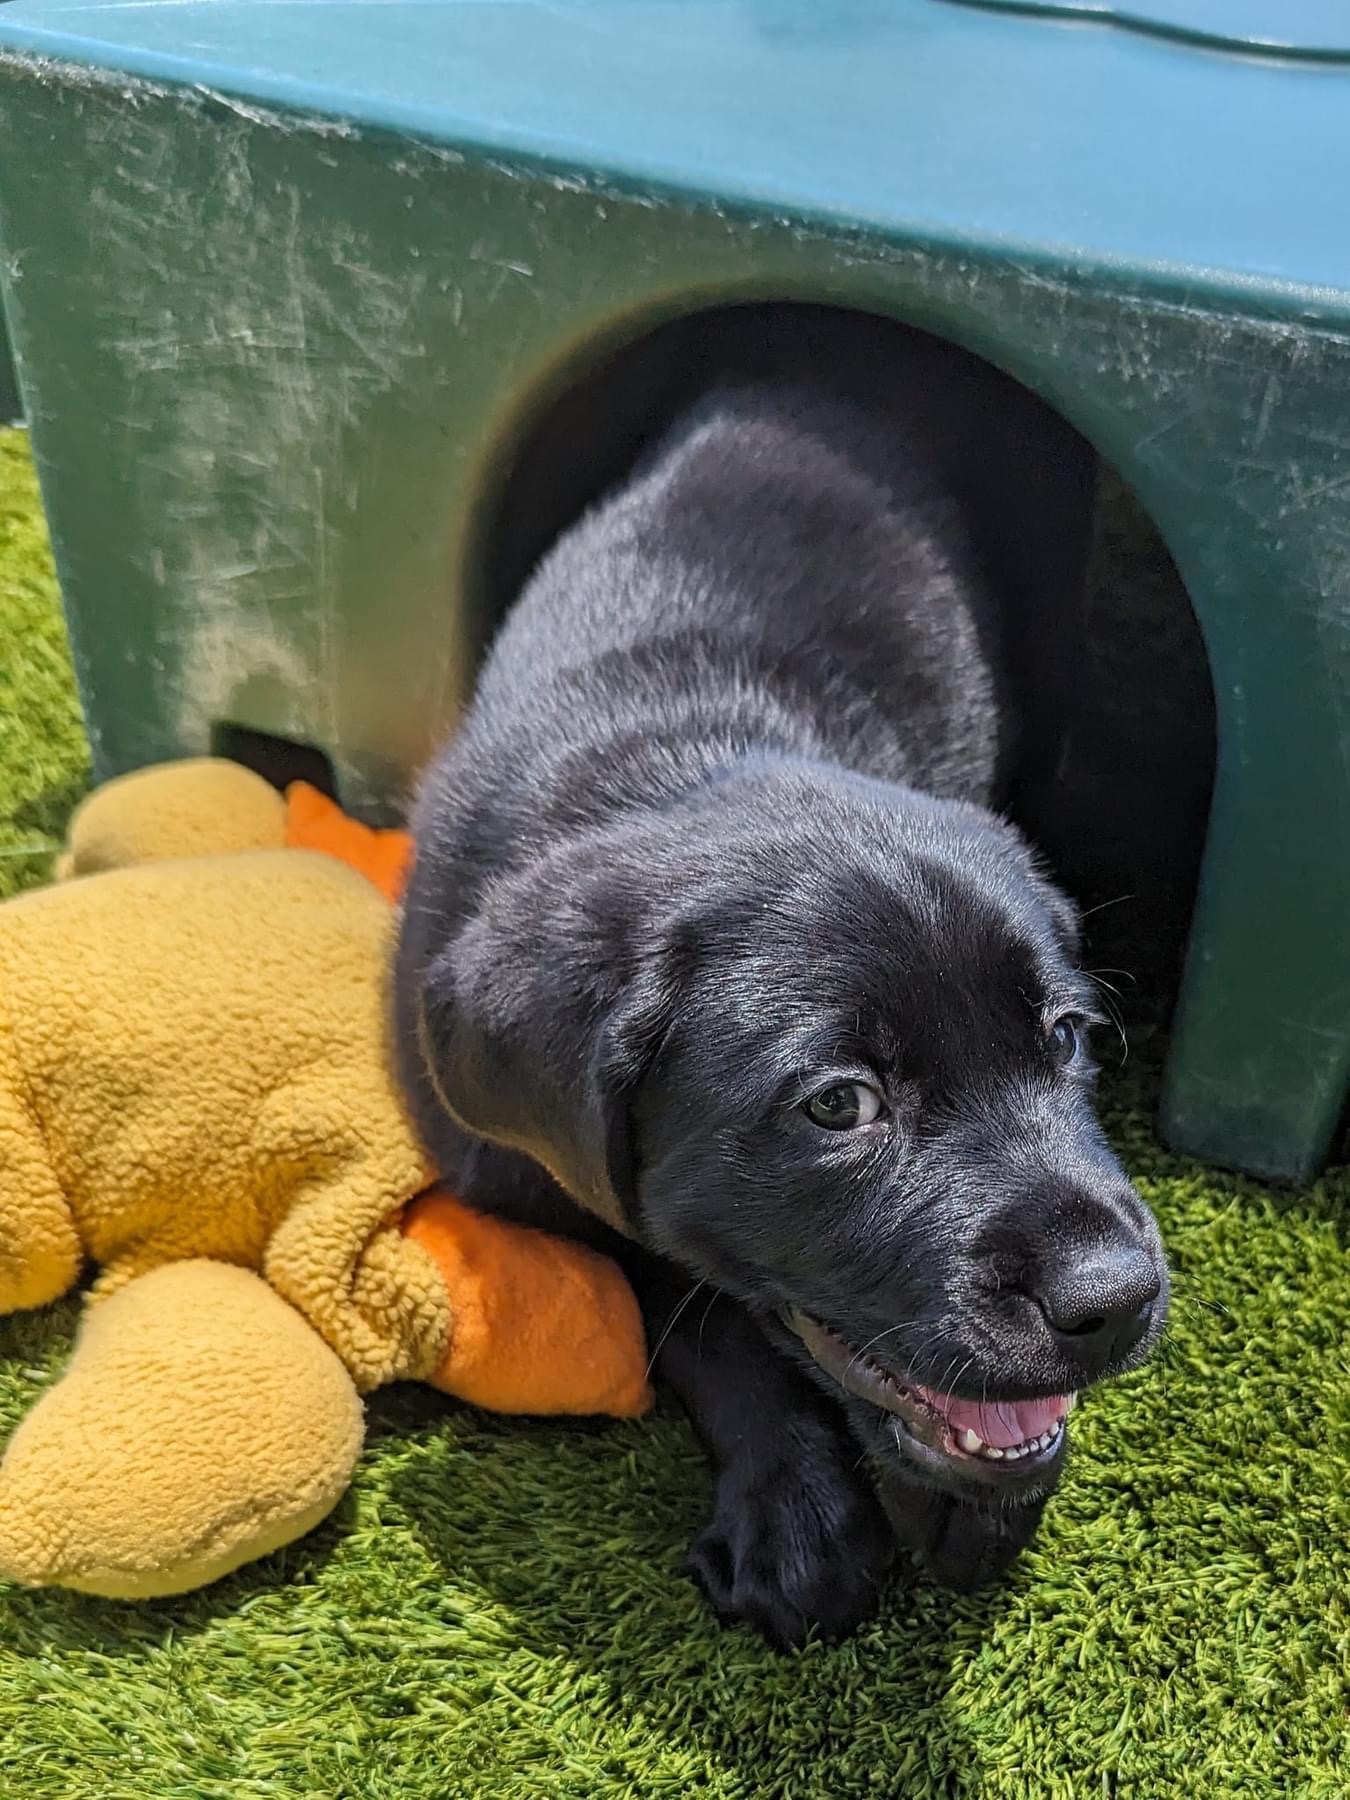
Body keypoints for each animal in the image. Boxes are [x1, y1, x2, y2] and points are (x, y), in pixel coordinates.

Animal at [394, 313, 1173, 1648]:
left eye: (1068, 1037)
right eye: (838, 1106)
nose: (1117, 1297)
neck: (677, 749)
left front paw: (971, 1504)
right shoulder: (531, 1168)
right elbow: (691, 1299)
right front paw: (799, 1514)